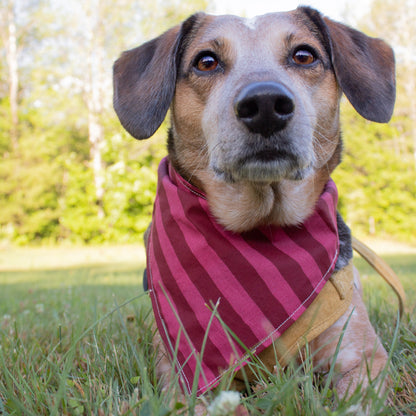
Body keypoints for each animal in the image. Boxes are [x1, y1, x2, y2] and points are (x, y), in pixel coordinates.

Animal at [111, 4, 396, 410]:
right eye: (207, 61)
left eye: (304, 55)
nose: (264, 104)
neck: (264, 225)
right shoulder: (182, 373)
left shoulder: (363, 358)